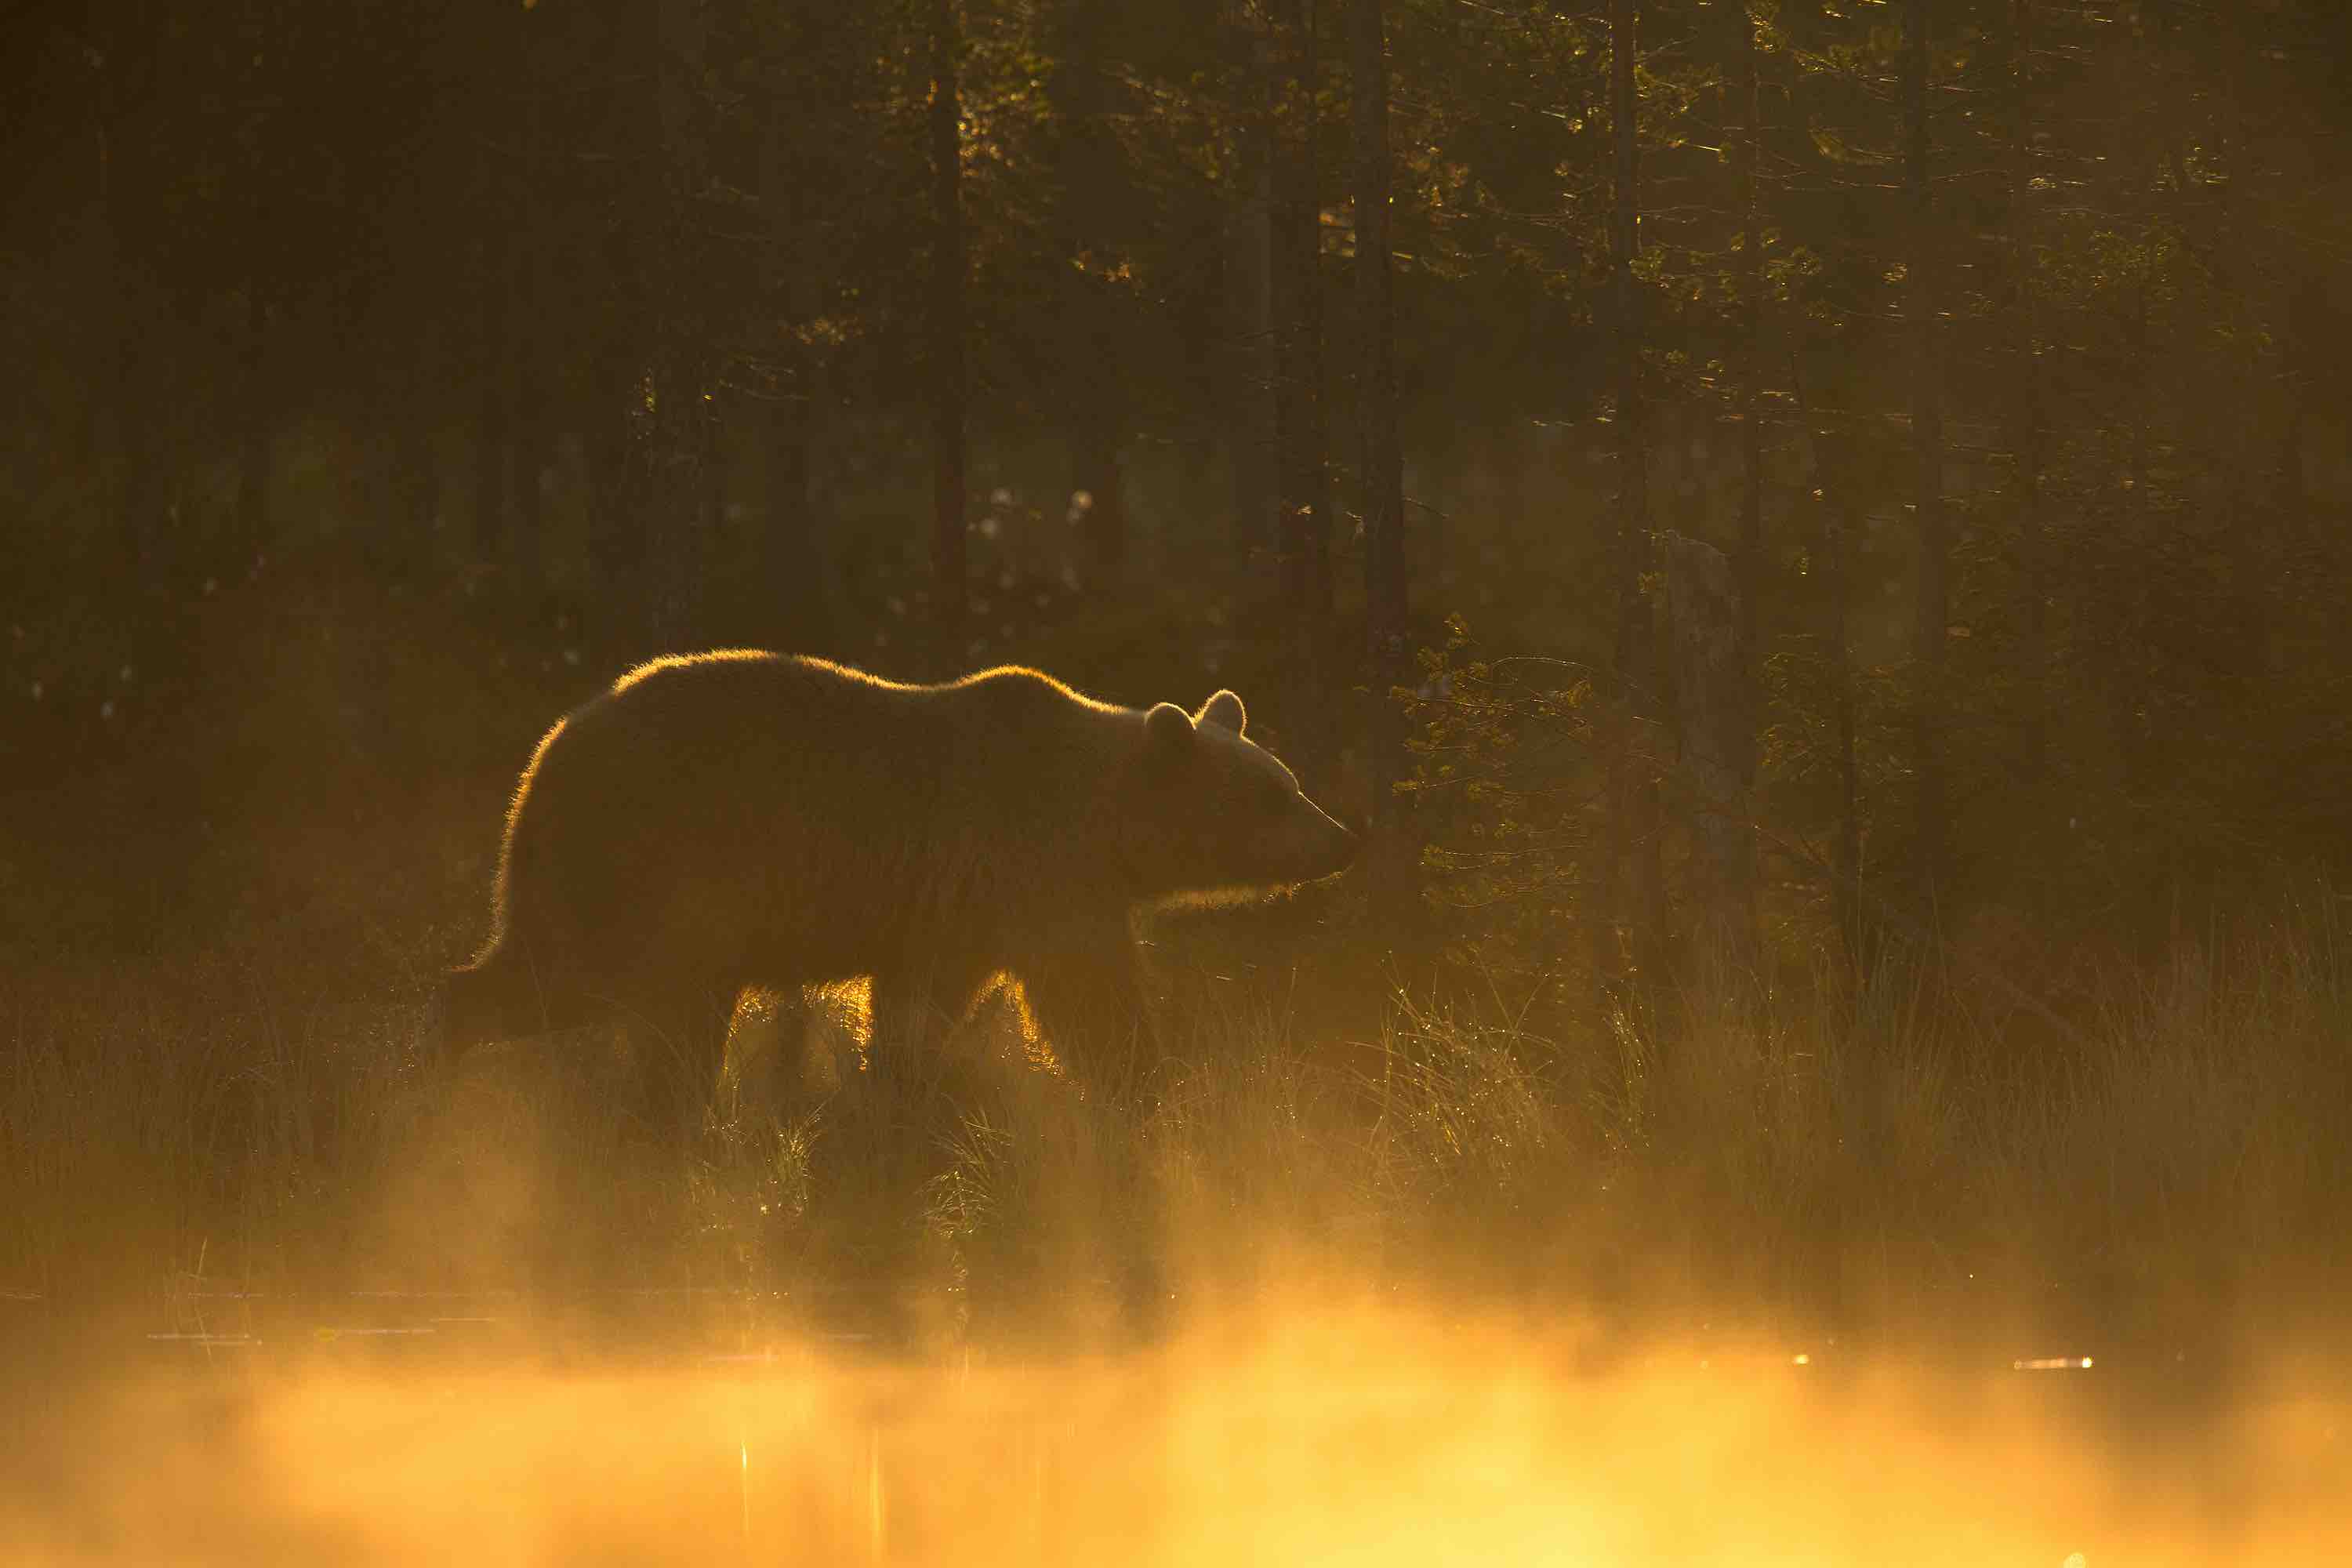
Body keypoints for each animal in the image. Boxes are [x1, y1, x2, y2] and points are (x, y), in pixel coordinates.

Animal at [442, 648, 1364, 1128]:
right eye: (1272, 793)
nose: (1344, 839)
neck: (1101, 817)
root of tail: (545, 756)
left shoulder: (957, 912)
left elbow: (920, 1007)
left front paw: (896, 1090)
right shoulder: (1036, 869)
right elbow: (1089, 997)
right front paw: (1151, 1087)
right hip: (645, 866)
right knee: (563, 979)